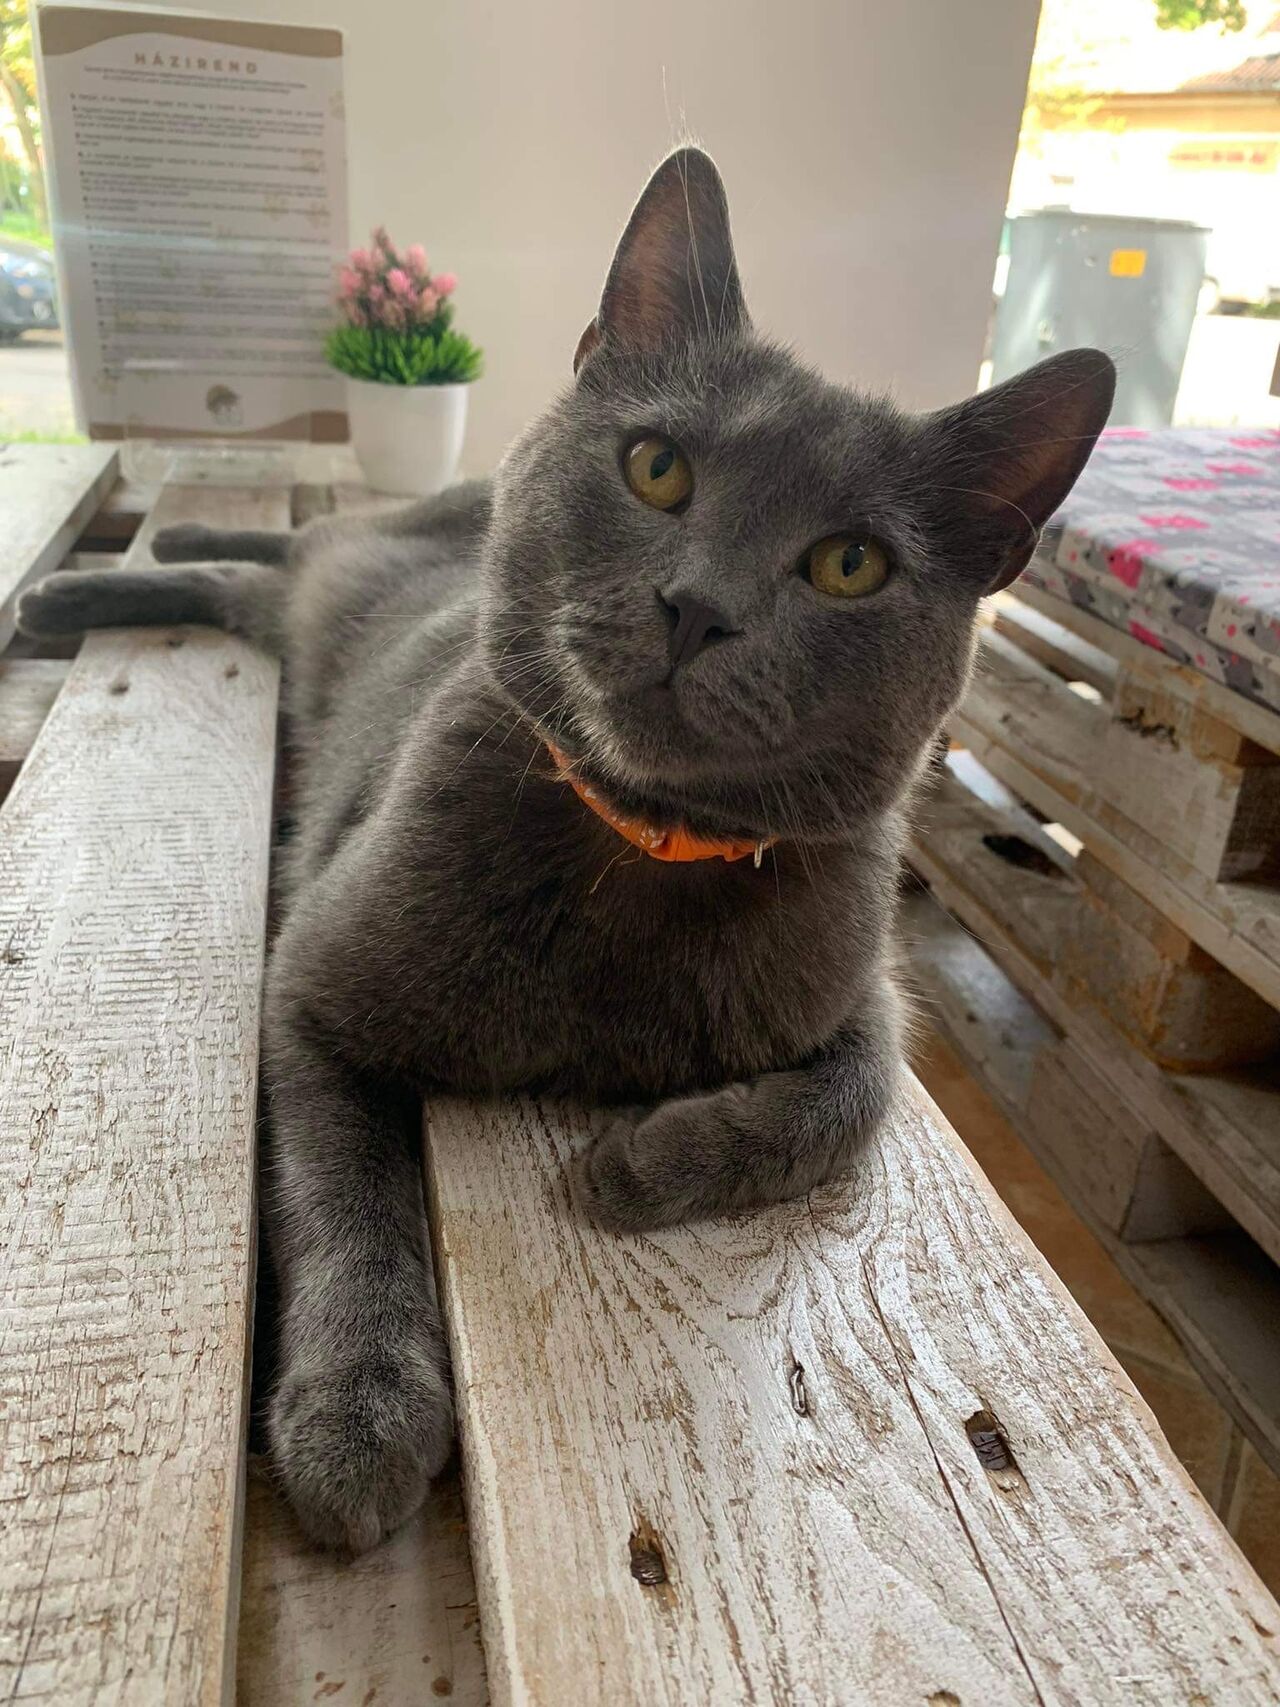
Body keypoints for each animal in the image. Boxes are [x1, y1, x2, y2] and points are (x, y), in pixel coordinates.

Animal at [18, 148, 1114, 1554]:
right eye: (655, 469)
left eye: (849, 564)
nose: (696, 608)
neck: (636, 854)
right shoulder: (305, 989)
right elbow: (345, 1191)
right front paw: (357, 1411)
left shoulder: (857, 980)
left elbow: (851, 1098)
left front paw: (641, 1165)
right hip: (352, 570)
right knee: (275, 556)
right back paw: (87, 584)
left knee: (266, 580)